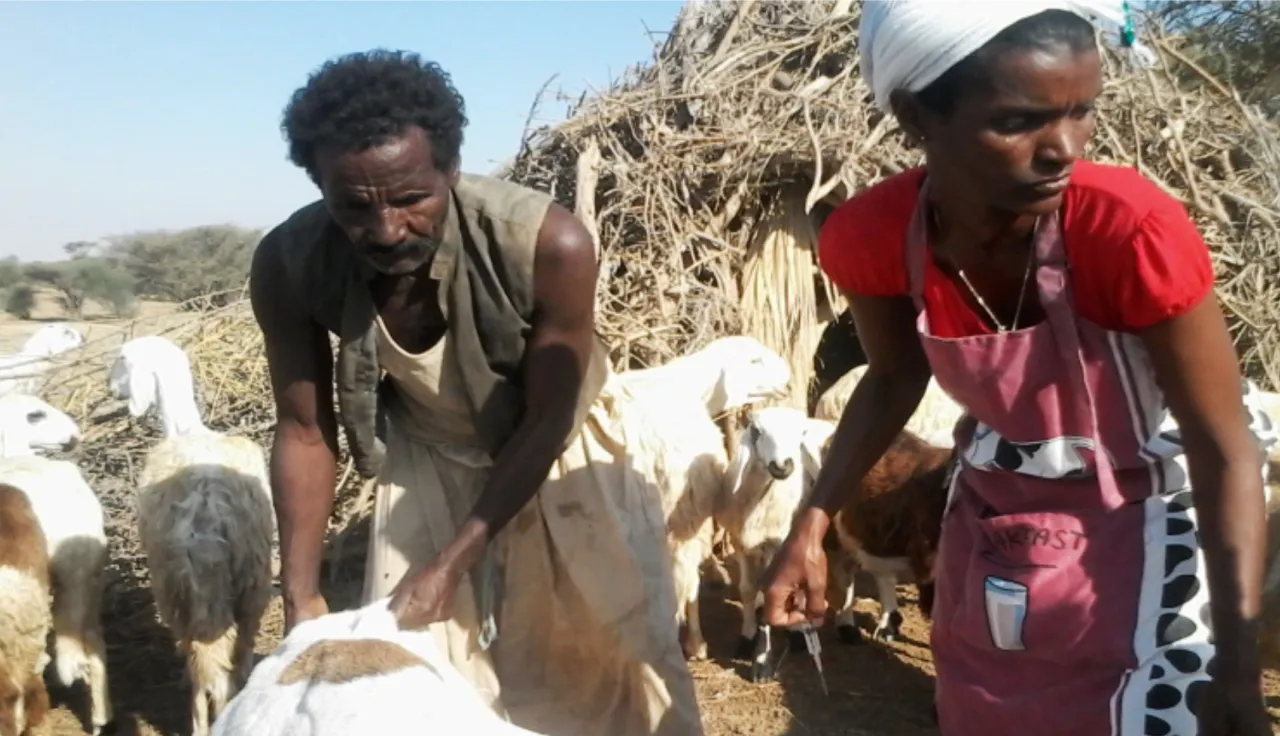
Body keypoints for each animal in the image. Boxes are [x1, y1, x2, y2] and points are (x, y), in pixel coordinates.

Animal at [108, 335, 275, 736]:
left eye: (121, 358)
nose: (110, 389)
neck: (185, 427)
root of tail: (208, 512)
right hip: (249, 578)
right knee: (237, 654)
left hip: (178, 589)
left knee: (204, 670)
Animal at [717, 406, 834, 682]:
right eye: (757, 431)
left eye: (801, 433)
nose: (783, 465)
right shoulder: (740, 543)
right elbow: (748, 589)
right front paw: (747, 637)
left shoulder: (776, 543)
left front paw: (762, 659)